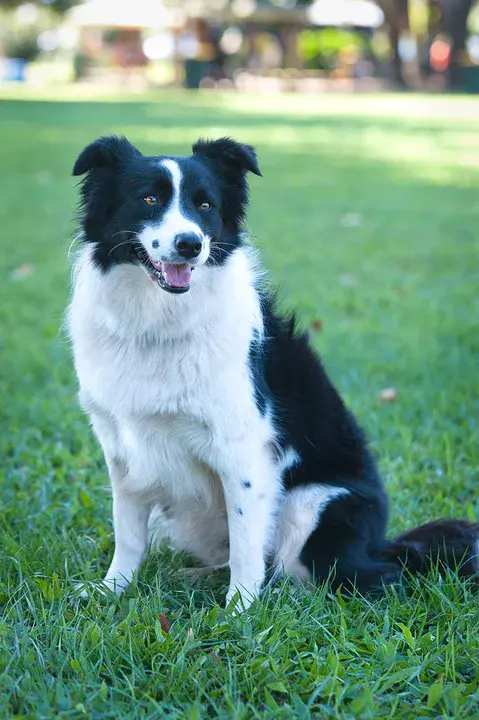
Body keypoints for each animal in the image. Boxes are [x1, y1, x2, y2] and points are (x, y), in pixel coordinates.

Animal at [67, 135, 479, 608]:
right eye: (149, 198)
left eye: (205, 205)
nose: (190, 244)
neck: (158, 322)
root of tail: (380, 544)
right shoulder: (122, 447)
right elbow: (128, 533)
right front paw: (112, 589)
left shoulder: (243, 449)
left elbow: (247, 543)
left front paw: (238, 611)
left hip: (313, 505)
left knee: (353, 575)